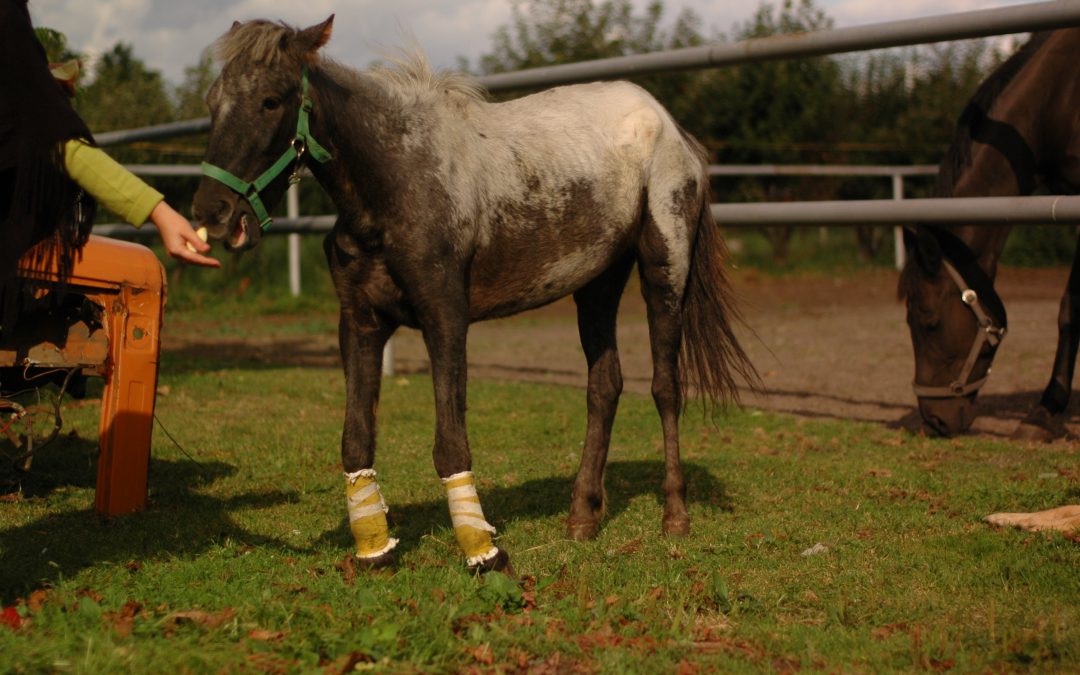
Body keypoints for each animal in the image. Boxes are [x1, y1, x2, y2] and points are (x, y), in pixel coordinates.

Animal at [190, 17, 756, 570]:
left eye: (272, 100)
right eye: (212, 102)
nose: (211, 211)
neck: (394, 183)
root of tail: (673, 129)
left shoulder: (445, 316)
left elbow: (450, 443)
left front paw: (482, 552)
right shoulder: (360, 322)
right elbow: (356, 440)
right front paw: (375, 550)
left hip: (665, 267)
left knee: (665, 386)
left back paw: (675, 515)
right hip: (597, 283)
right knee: (605, 386)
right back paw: (581, 517)